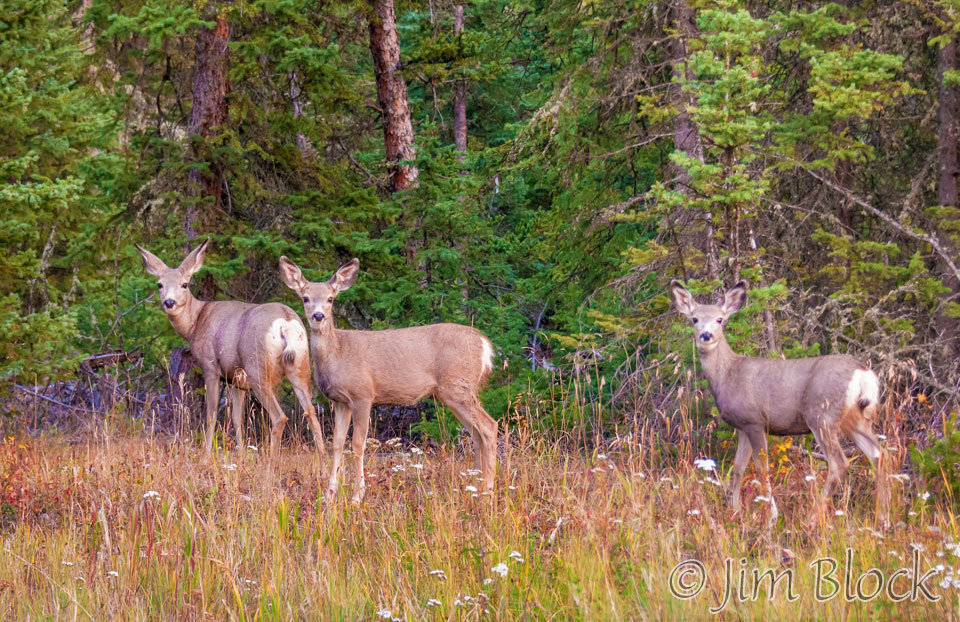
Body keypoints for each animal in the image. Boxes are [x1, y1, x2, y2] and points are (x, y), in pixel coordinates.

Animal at [133, 241, 326, 466]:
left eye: (185, 284)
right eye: (159, 284)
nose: (169, 302)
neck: (196, 322)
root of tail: (286, 323)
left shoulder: (211, 367)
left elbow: (211, 415)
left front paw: (206, 456)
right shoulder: (237, 379)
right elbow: (236, 418)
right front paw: (241, 455)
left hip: (258, 369)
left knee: (280, 416)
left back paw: (270, 462)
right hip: (300, 367)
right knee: (311, 412)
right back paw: (323, 461)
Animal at [278, 256, 498, 504]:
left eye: (330, 298)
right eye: (305, 298)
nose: (318, 316)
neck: (338, 353)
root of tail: (484, 344)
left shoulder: (363, 394)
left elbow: (357, 444)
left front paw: (357, 496)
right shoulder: (340, 401)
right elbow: (336, 443)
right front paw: (329, 495)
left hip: (458, 386)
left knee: (489, 426)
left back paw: (489, 491)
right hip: (452, 392)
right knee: (476, 433)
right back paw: (476, 486)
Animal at [672, 280, 888, 524]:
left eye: (720, 319)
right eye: (694, 319)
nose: (706, 335)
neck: (727, 375)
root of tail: (863, 374)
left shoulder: (754, 421)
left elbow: (761, 469)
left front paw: (771, 515)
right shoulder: (743, 426)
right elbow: (738, 468)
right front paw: (734, 510)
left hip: (821, 415)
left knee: (839, 463)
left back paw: (812, 519)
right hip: (855, 417)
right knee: (878, 454)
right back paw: (883, 517)